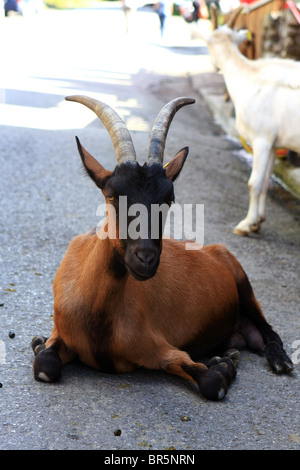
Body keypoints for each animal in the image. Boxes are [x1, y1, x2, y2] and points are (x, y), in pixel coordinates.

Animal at [32, 95, 292, 400]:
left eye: (169, 198)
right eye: (111, 194)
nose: (145, 258)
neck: (97, 318)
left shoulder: (160, 347)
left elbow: (212, 382)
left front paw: (223, 365)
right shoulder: (61, 332)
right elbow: (45, 366)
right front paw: (39, 343)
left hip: (242, 281)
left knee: (267, 328)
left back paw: (278, 360)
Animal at [199, 23, 300, 235]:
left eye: (208, 44)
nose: (215, 66)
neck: (248, 75)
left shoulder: (261, 140)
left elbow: (254, 183)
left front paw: (246, 224)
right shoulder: (272, 143)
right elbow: (265, 183)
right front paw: (258, 221)